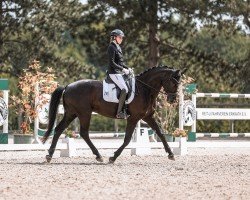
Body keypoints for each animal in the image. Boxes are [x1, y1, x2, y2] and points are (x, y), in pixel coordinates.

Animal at [41, 66, 182, 163]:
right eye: (174, 82)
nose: (172, 100)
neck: (145, 90)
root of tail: (68, 86)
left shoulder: (148, 117)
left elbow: (161, 134)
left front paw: (171, 154)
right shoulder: (134, 118)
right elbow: (127, 139)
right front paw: (113, 157)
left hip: (72, 113)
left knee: (59, 129)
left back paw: (49, 155)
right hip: (84, 113)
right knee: (84, 133)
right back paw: (98, 156)